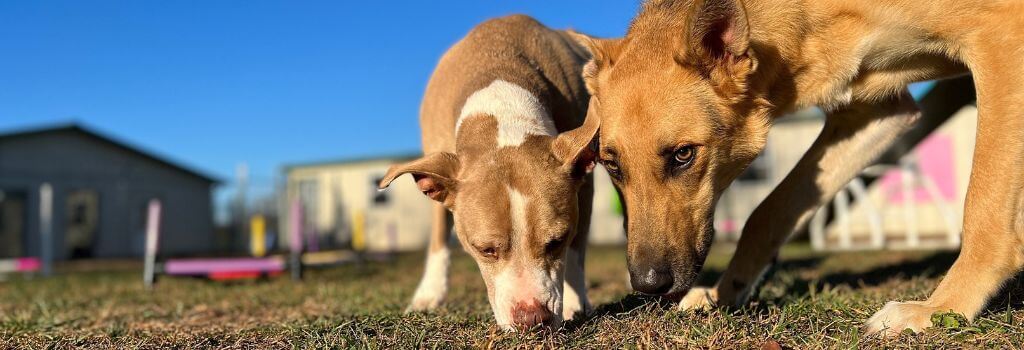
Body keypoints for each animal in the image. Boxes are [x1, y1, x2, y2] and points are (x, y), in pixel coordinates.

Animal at [380, 14, 598, 331]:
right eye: (486, 250)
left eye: (556, 241)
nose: (533, 318)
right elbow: (438, 236)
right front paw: (429, 295)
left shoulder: (584, 184)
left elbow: (577, 250)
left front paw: (574, 303)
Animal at [577, 0, 1024, 335]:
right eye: (611, 165)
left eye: (683, 154)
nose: (648, 285)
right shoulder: (876, 113)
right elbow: (770, 211)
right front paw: (725, 293)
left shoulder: (1001, 37)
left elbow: (983, 205)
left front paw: (941, 307)